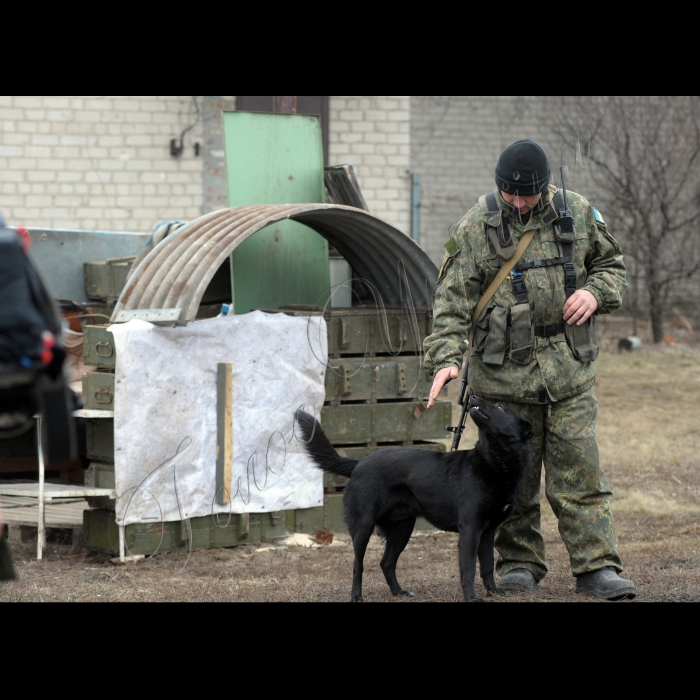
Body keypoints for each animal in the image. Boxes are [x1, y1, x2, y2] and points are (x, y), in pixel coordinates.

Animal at [298, 400, 532, 600]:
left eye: (500, 407)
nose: (473, 396)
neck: (494, 462)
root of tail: (358, 464)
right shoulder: (470, 529)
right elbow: (468, 569)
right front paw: (472, 598)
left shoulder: (487, 531)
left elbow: (487, 566)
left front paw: (493, 592)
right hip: (363, 527)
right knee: (358, 566)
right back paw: (357, 596)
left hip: (402, 529)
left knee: (386, 563)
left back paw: (399, 592)